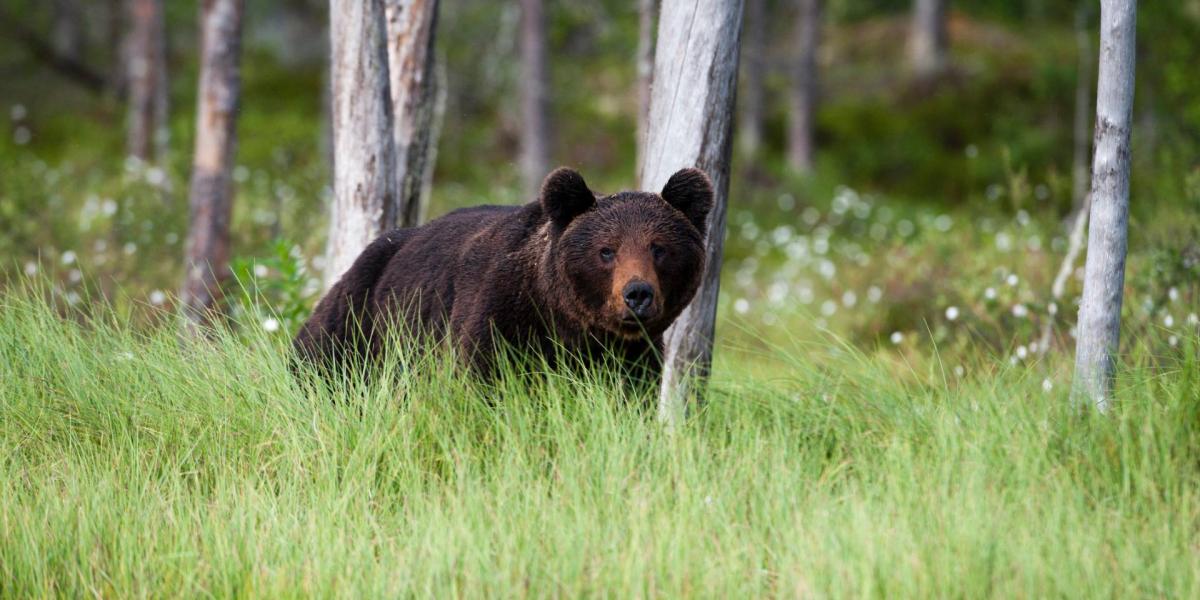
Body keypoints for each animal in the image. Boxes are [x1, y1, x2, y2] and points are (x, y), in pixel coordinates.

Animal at [292, 165, 710, 379]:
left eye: (659, 248)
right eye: (606, 251)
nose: (637, 293)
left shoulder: (631, 355)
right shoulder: (498, 319)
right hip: (358, 322)